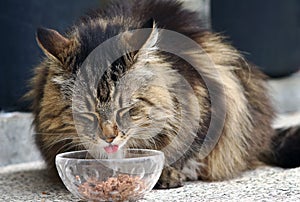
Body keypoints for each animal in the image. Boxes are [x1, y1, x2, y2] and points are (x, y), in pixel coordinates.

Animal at [27, 0, 298, 189]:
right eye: (86, 113)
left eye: (125, 109)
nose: (109, 137)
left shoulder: (208, 107)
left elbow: (183, 152)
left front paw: (167, 174)